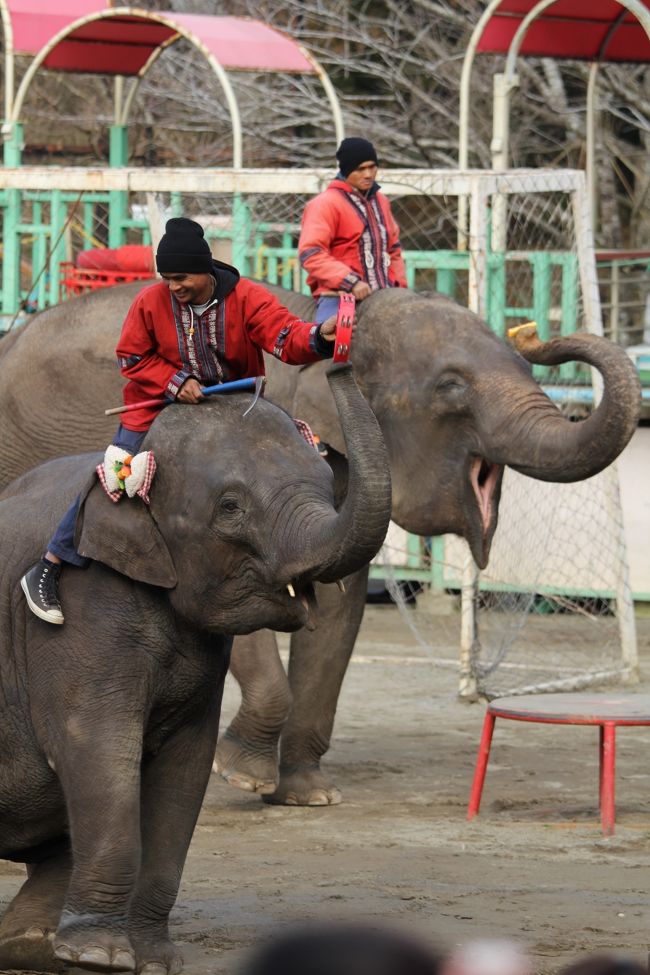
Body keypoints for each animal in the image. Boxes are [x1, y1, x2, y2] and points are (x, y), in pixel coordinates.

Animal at [0, 366, 388, 975]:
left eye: (330, 482)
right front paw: (99, 956)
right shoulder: (76, 618)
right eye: (230, 506)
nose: (337, 360)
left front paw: (152, 961)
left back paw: (30, 945)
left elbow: (184, 772)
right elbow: (98, 754)